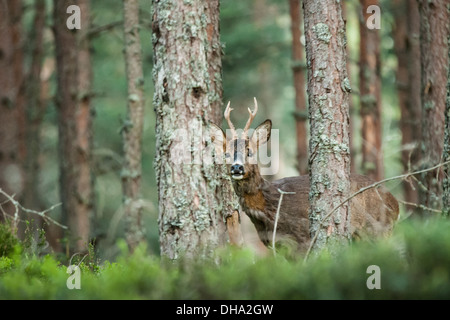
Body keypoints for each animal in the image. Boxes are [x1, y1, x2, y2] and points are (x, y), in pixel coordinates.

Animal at [209, 98, 400, 252]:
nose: (237, 168)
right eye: (226, 154)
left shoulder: (303, 238)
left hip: (379, 230)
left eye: (249, 151)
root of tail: (395, 203)